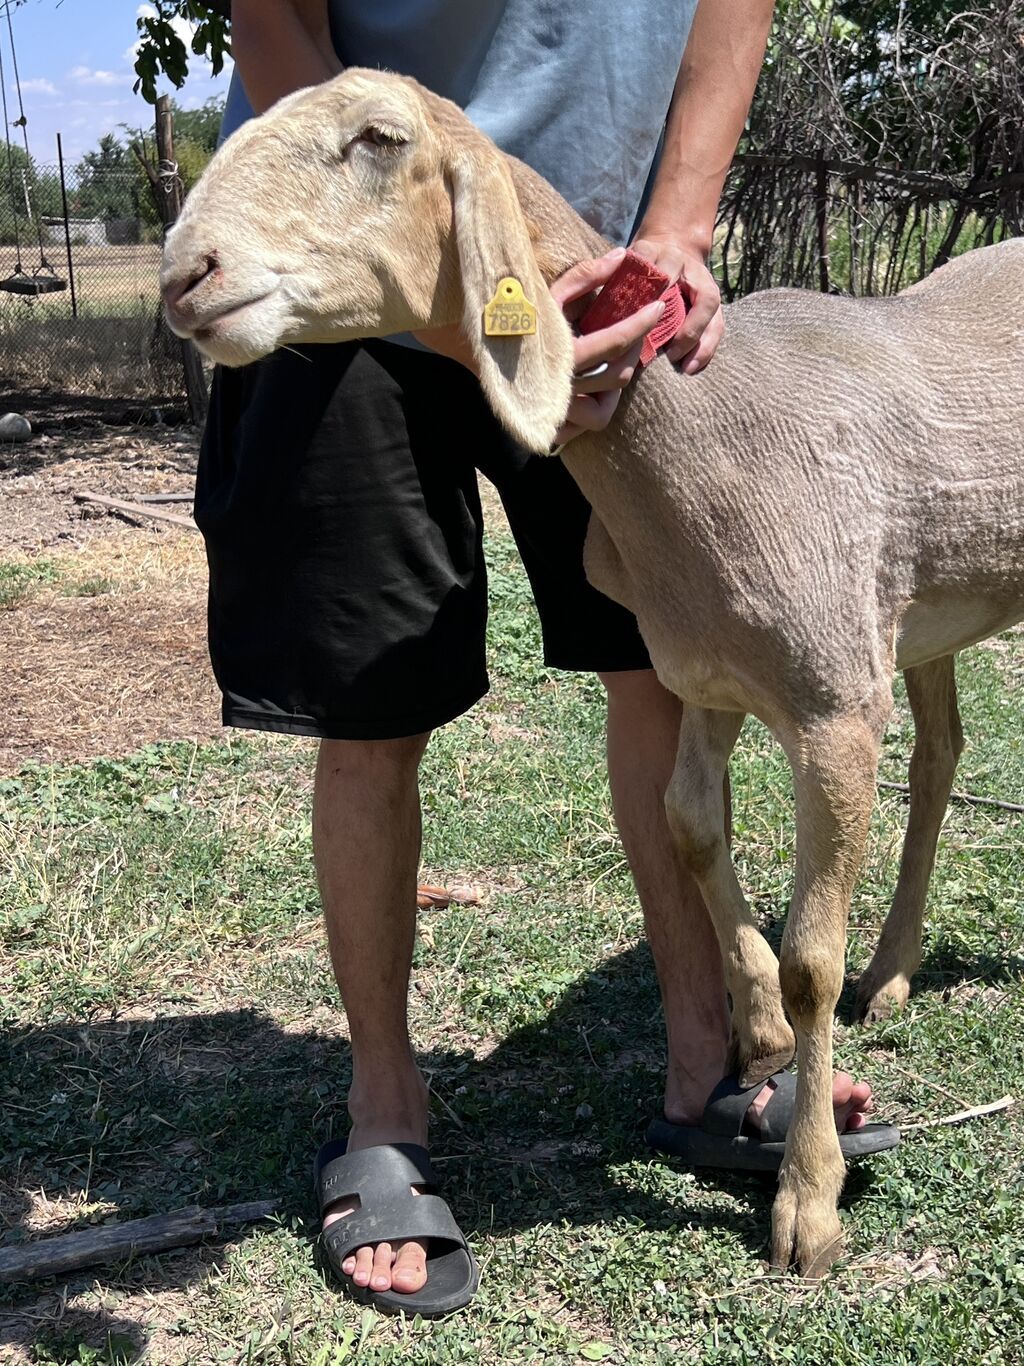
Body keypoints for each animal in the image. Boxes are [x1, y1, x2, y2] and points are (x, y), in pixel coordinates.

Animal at [160, 67, 1024, 1277]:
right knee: (943, 755)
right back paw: (893, 970)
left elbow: (810, 953)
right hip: (923, 609)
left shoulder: (829, 706)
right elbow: (689, 831)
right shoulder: (710, 672)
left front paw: (808, 1201)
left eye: (378, 139)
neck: (703, 444)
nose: (184, 276)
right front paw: (757, 1029)